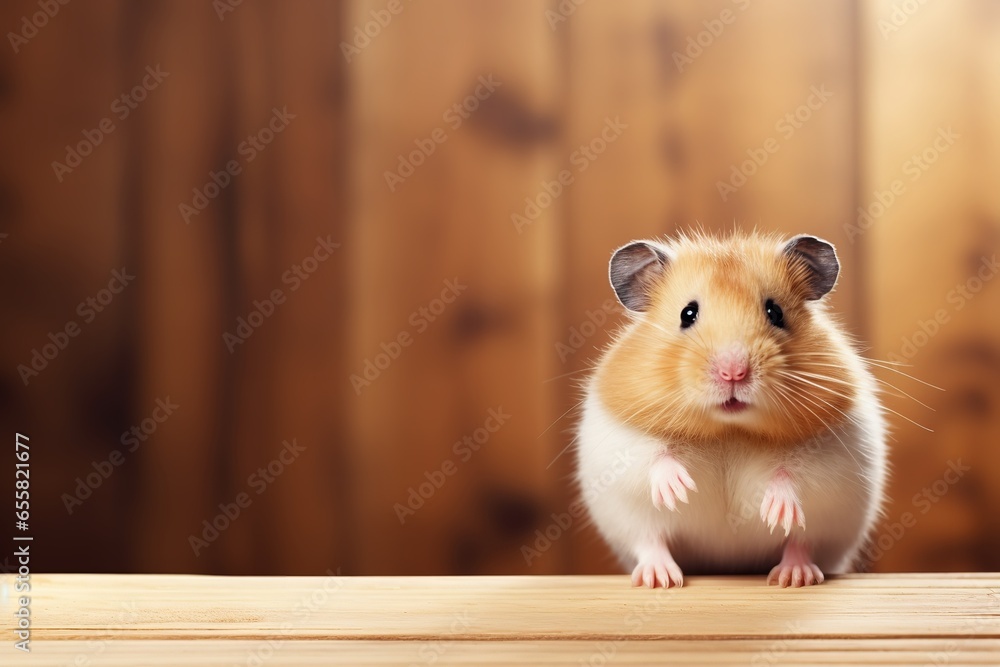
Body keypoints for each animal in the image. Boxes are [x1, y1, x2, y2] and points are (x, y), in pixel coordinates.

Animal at [575, 230, 887, 588]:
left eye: (775, 312)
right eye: (687, 314)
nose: (734, 372)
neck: (730, 429)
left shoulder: (833, 451)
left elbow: (793, 471)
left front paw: (775, 511)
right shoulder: (619, 439)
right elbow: (656, 455)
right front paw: (679, 490)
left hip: (828, 530)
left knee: (801, 544)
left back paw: (794, 575)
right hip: (628, 522)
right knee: (650, 542)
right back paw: (660, 578)